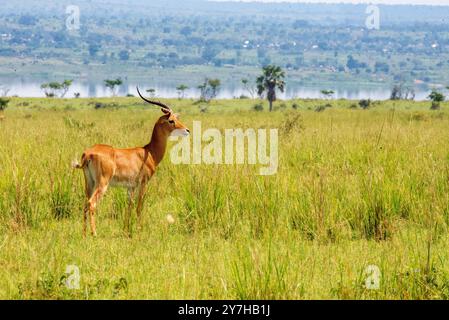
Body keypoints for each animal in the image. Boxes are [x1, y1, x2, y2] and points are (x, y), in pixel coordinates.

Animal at [71, 87, 189, 238]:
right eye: (171, 120)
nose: (187, 130)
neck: (149, 152)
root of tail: (88, 153)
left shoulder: (130, 187)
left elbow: (129, 206)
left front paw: (126, 231)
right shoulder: (143, 183)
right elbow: (139, 207)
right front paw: (139, 230)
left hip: (89, 183)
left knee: (85, 203)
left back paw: (84, 234)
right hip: (102, 183)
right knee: (92, 203)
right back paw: (94, 233)